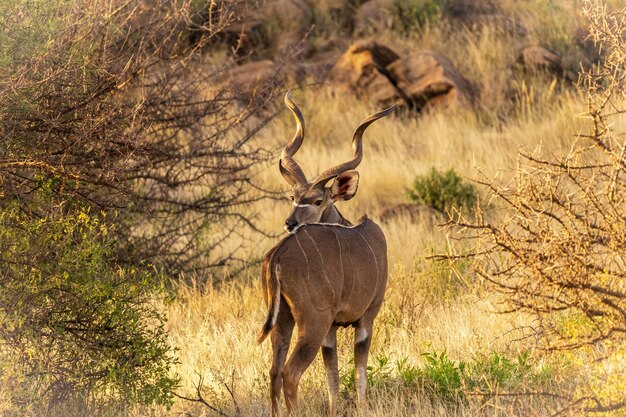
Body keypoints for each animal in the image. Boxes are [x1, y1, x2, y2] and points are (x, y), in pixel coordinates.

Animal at [256, 92, 392, 416]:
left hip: (283, 322)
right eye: (293, 197)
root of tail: (278, 255)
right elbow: (359, 373)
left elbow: (333, 376)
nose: (290, 223)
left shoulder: (331, 328)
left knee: (273, 372)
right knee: (290, 373)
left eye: (317, 200)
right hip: (311, 323)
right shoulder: (366, 317)